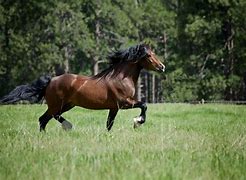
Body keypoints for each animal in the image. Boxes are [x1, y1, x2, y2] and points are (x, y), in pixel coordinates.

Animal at [0, 43, 165, 131]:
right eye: (148, 56)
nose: (162, 67)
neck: (120, 78)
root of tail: (51, 80)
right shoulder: (124, 102)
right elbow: (143, 105)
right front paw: (138, 122)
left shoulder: (114, 108)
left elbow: (109, 124)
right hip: (57, 105)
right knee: (48, 117)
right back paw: (67, 126)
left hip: (67, 105)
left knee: (44, 119)